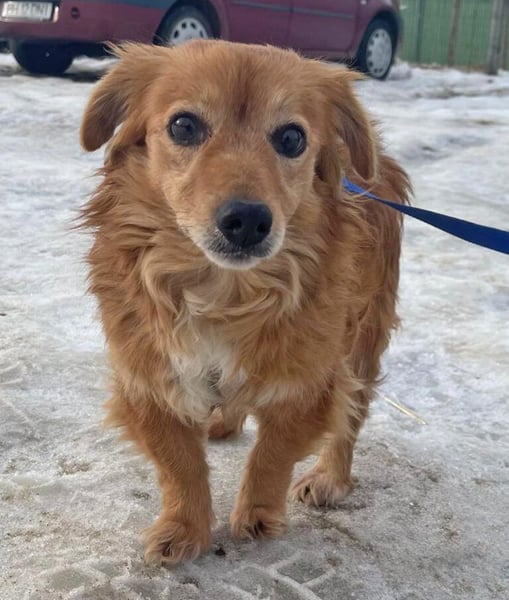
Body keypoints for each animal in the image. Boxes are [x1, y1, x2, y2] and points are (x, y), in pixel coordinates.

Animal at [80, 40, 411, 565]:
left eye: (292, 138)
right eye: (183, 126)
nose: (248, 220)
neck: (226, 294)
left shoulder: (308, 381)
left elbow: (272, 454)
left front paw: (257, 515)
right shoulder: (150, 377)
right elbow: (179, 463)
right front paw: (185, 528)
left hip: (363, 338)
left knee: (352, 414)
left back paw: (330, 476)